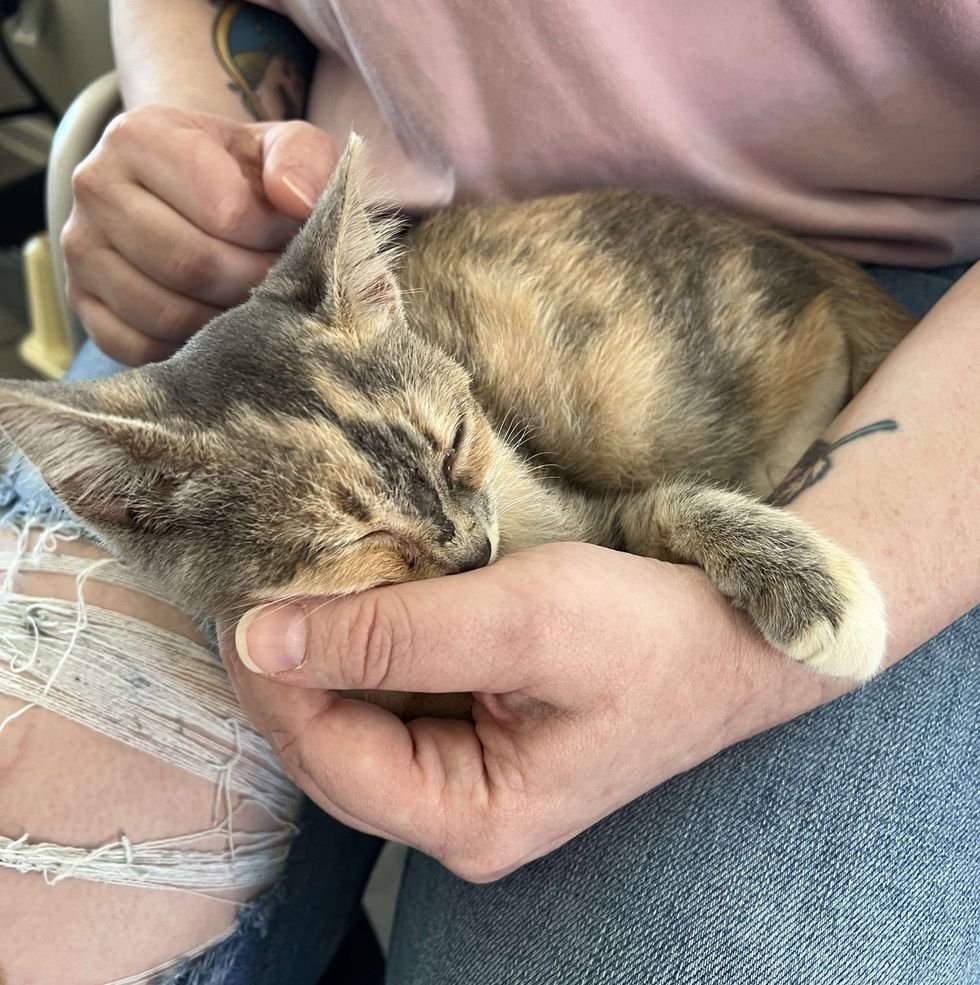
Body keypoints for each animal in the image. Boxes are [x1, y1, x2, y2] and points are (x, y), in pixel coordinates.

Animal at [0, 135, 912, 712]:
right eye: (355, 541)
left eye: (456, 445)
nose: (474, 549)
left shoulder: (575, 506)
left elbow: (657, 505)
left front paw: (818, 591)